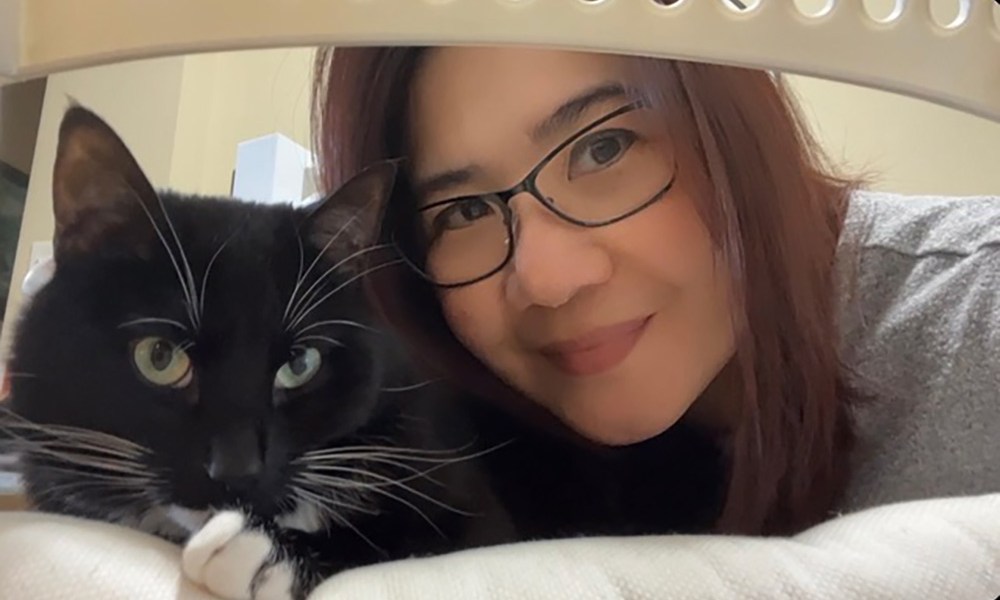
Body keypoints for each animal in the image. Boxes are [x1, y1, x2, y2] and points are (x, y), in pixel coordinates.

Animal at [2, 105, 727, 600]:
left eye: (300, 364)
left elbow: (411, 539)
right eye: (160, 357)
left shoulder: (461, 492)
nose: (235, 471)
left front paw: (260, 552)